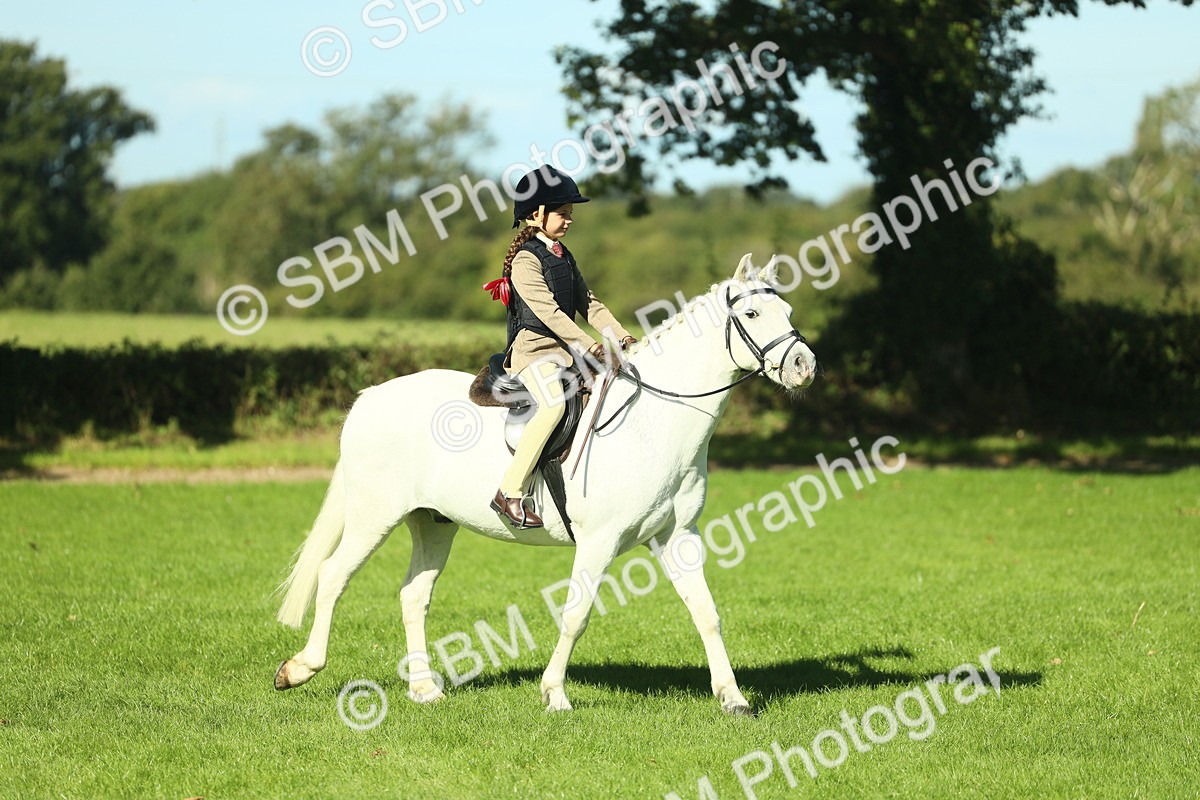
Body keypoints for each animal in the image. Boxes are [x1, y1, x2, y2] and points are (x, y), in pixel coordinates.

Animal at [274, 254, 817, 714]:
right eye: (751, 313)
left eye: (788, 309)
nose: (804, 367)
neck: (655, 421)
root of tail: (369, 397)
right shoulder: (599, 541)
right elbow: (576, 615)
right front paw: (555, 694)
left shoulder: (677, 537)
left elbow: (706, 612)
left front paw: (732, 697)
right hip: (374, 516)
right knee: (333, 576)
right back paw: (299, 669)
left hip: (433, 523)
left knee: (413, 595)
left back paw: (425, 688)